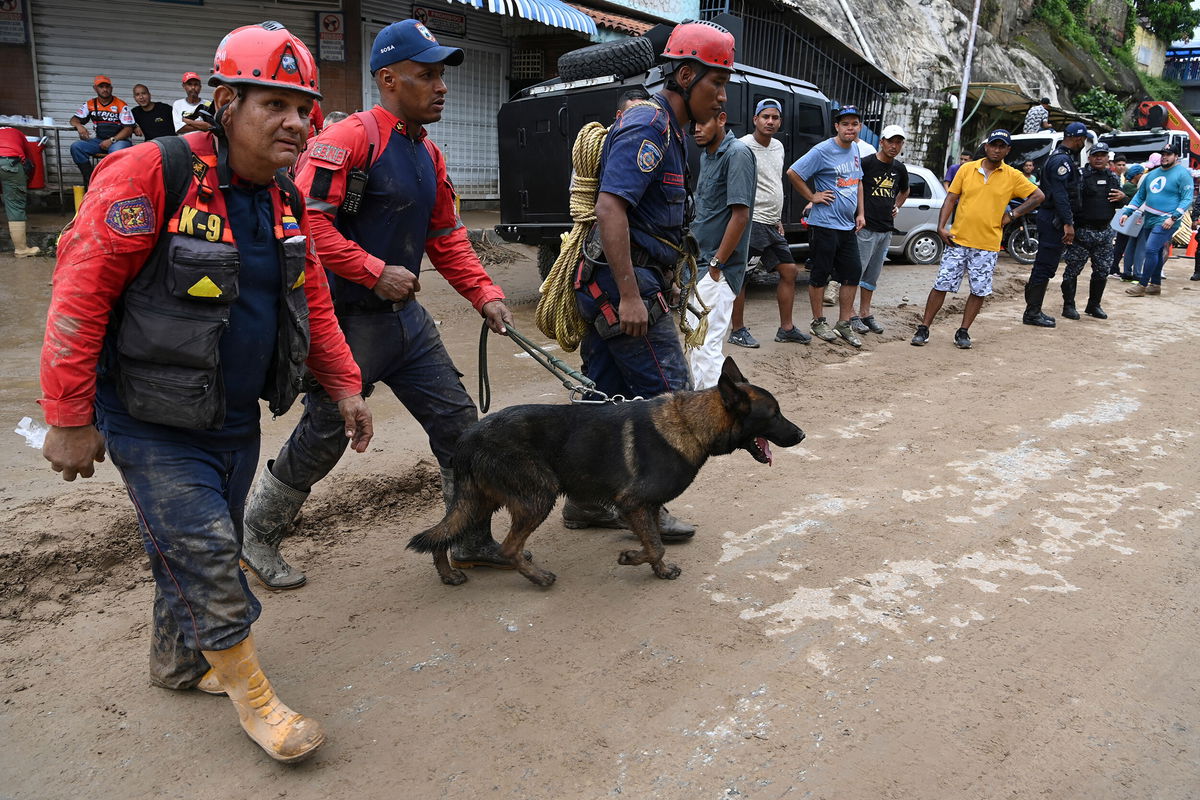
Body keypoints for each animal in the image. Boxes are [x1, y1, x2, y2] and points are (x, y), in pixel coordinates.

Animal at [408, 359, 801, 585]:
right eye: (774, 414)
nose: (801, 435)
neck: (691, 425)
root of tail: (468, 437)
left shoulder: (645, 506)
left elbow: (655, 542)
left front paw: (658, 570)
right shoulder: (633, 503)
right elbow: (654, 545)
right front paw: (634, 559)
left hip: (480, 499)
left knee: (445, 534)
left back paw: (448, 573)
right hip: (538, 495)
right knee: (507, 547)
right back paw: (538, 577)